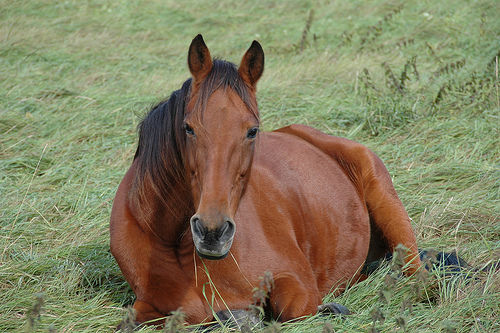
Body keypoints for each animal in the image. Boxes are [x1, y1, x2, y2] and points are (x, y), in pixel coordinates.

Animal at [110, 34, 422, 326]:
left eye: (252, 131)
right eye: (188, 128)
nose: (212, 232)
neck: (176, 244)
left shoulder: (295, 279)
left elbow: (291, 310)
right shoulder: (146, 305)